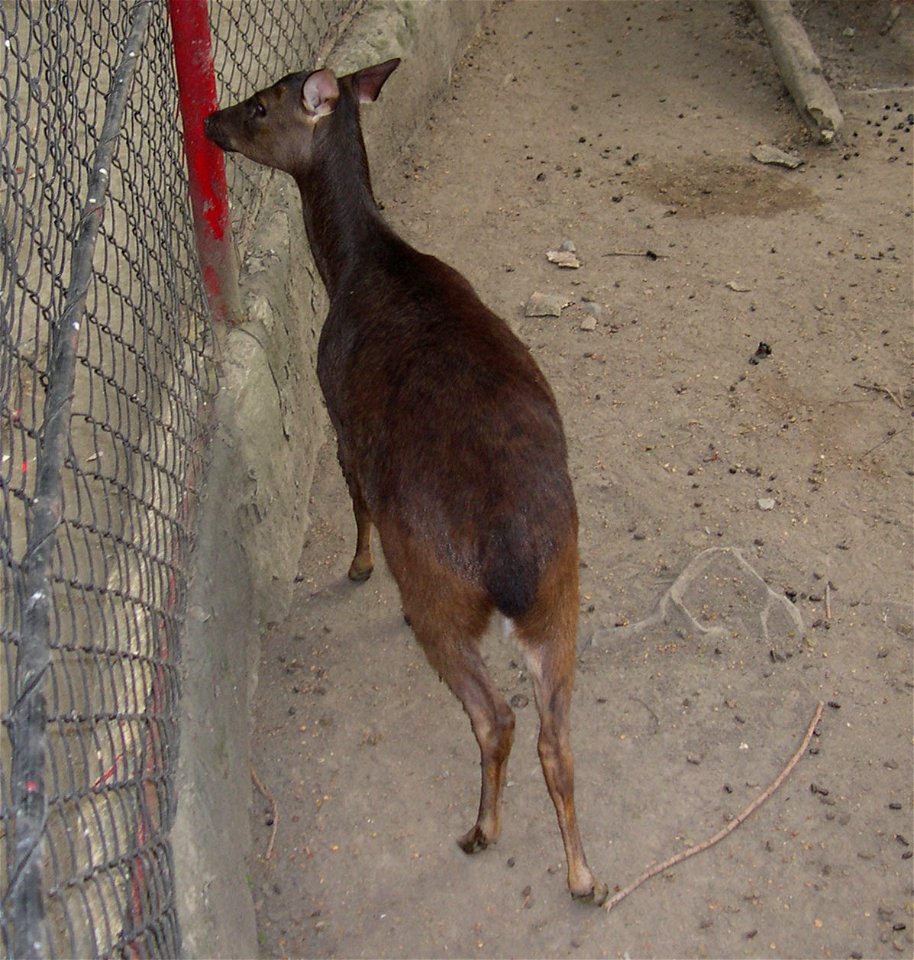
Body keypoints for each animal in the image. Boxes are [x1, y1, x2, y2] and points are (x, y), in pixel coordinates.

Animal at [206, 62, 604, 908]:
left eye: (260, 106)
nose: (211, 123)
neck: (354, 267)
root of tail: (511, 562)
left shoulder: (336, 403)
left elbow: (355, 496)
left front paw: (356, 569)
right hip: (564, 591)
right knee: (556, 734)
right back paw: (584, 876)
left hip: (440, 590)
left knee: (497, 718)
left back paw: (480, 833)